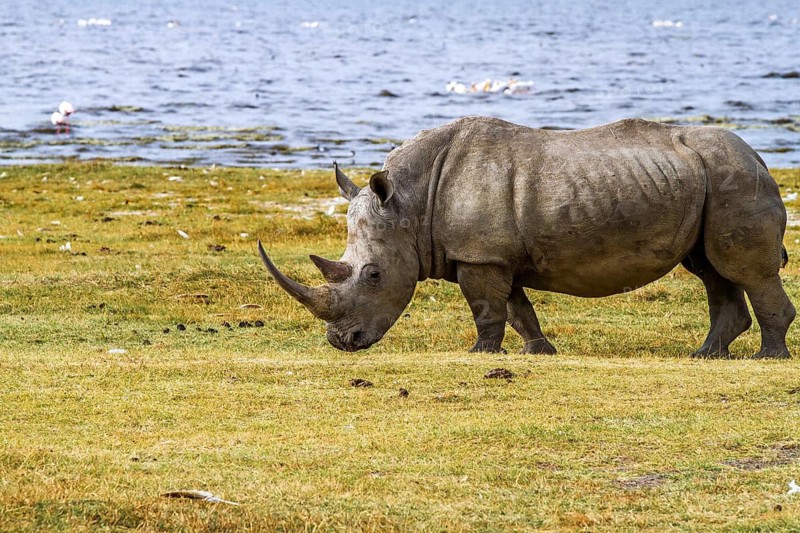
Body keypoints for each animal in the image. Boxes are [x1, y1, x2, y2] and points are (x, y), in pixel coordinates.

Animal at [258, 117, 795, 358]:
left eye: (372, 275)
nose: (342, 343)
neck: (410, 204)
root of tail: (760, 156)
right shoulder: (494, 254)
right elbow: (517, 309)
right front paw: (539, 352)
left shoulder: (480, 256)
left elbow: (486, 308)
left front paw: (480, 355)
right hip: (709, 181)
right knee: (710, 269)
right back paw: (706, 356)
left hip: (734, 177)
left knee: (743, 269)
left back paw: (768, 356)